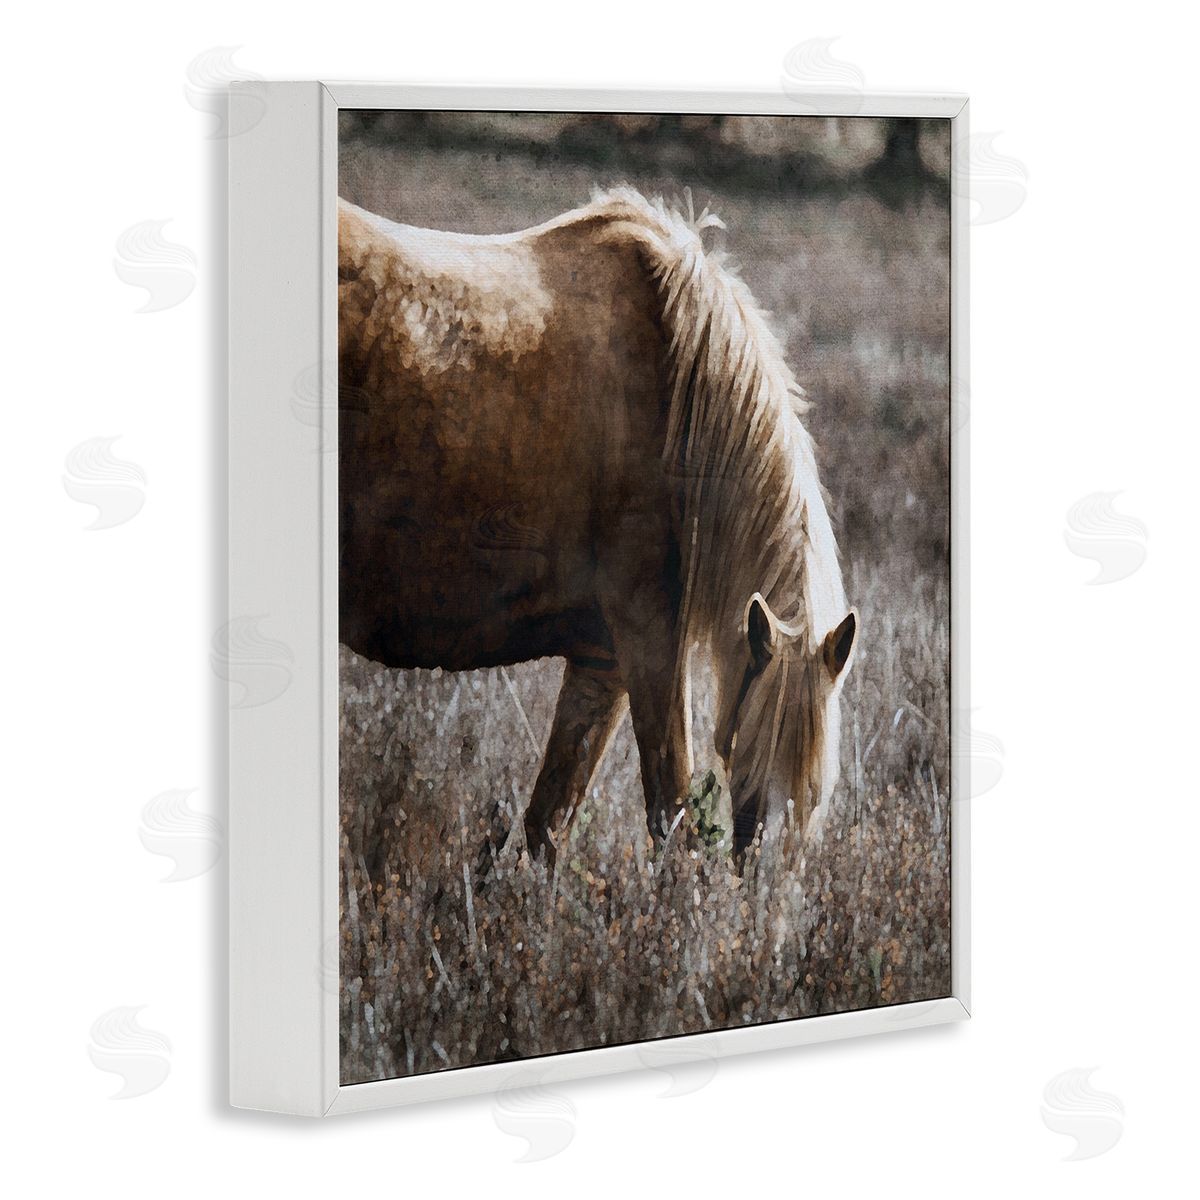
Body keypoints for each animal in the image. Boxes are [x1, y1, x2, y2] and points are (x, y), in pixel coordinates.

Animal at [337, 186, 858, 867]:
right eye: (759, 756)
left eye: (817, 794)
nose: (771, 890)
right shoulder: (648, 646)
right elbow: (672, 816)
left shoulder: (600, 664)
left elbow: (548, 825)